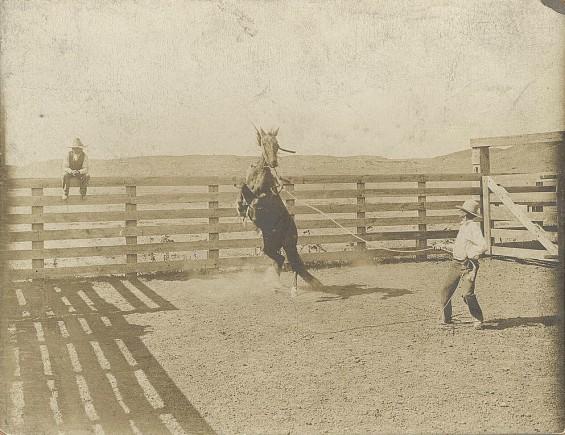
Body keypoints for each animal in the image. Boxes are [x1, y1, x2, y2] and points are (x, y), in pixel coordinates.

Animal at [235, 127, 322, 296]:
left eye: (277, 144)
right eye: (264, 143)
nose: (274, 162)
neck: (259, 174)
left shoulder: (263, 195)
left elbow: (254, 197)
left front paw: (249, 208)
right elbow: (242, 186)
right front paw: (241, 208)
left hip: (287, 245)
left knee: (292, 263)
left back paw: (292, 289)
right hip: (269, 245)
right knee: (280, 259)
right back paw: (276, 285)